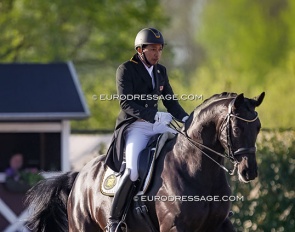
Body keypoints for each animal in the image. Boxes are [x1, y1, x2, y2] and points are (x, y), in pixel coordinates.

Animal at [25, 91, 266, 231]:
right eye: (237, 128)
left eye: (258, 127)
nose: (249, 171)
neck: (196, 171)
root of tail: (79, 176)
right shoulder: (174, 228)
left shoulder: (220, 225)